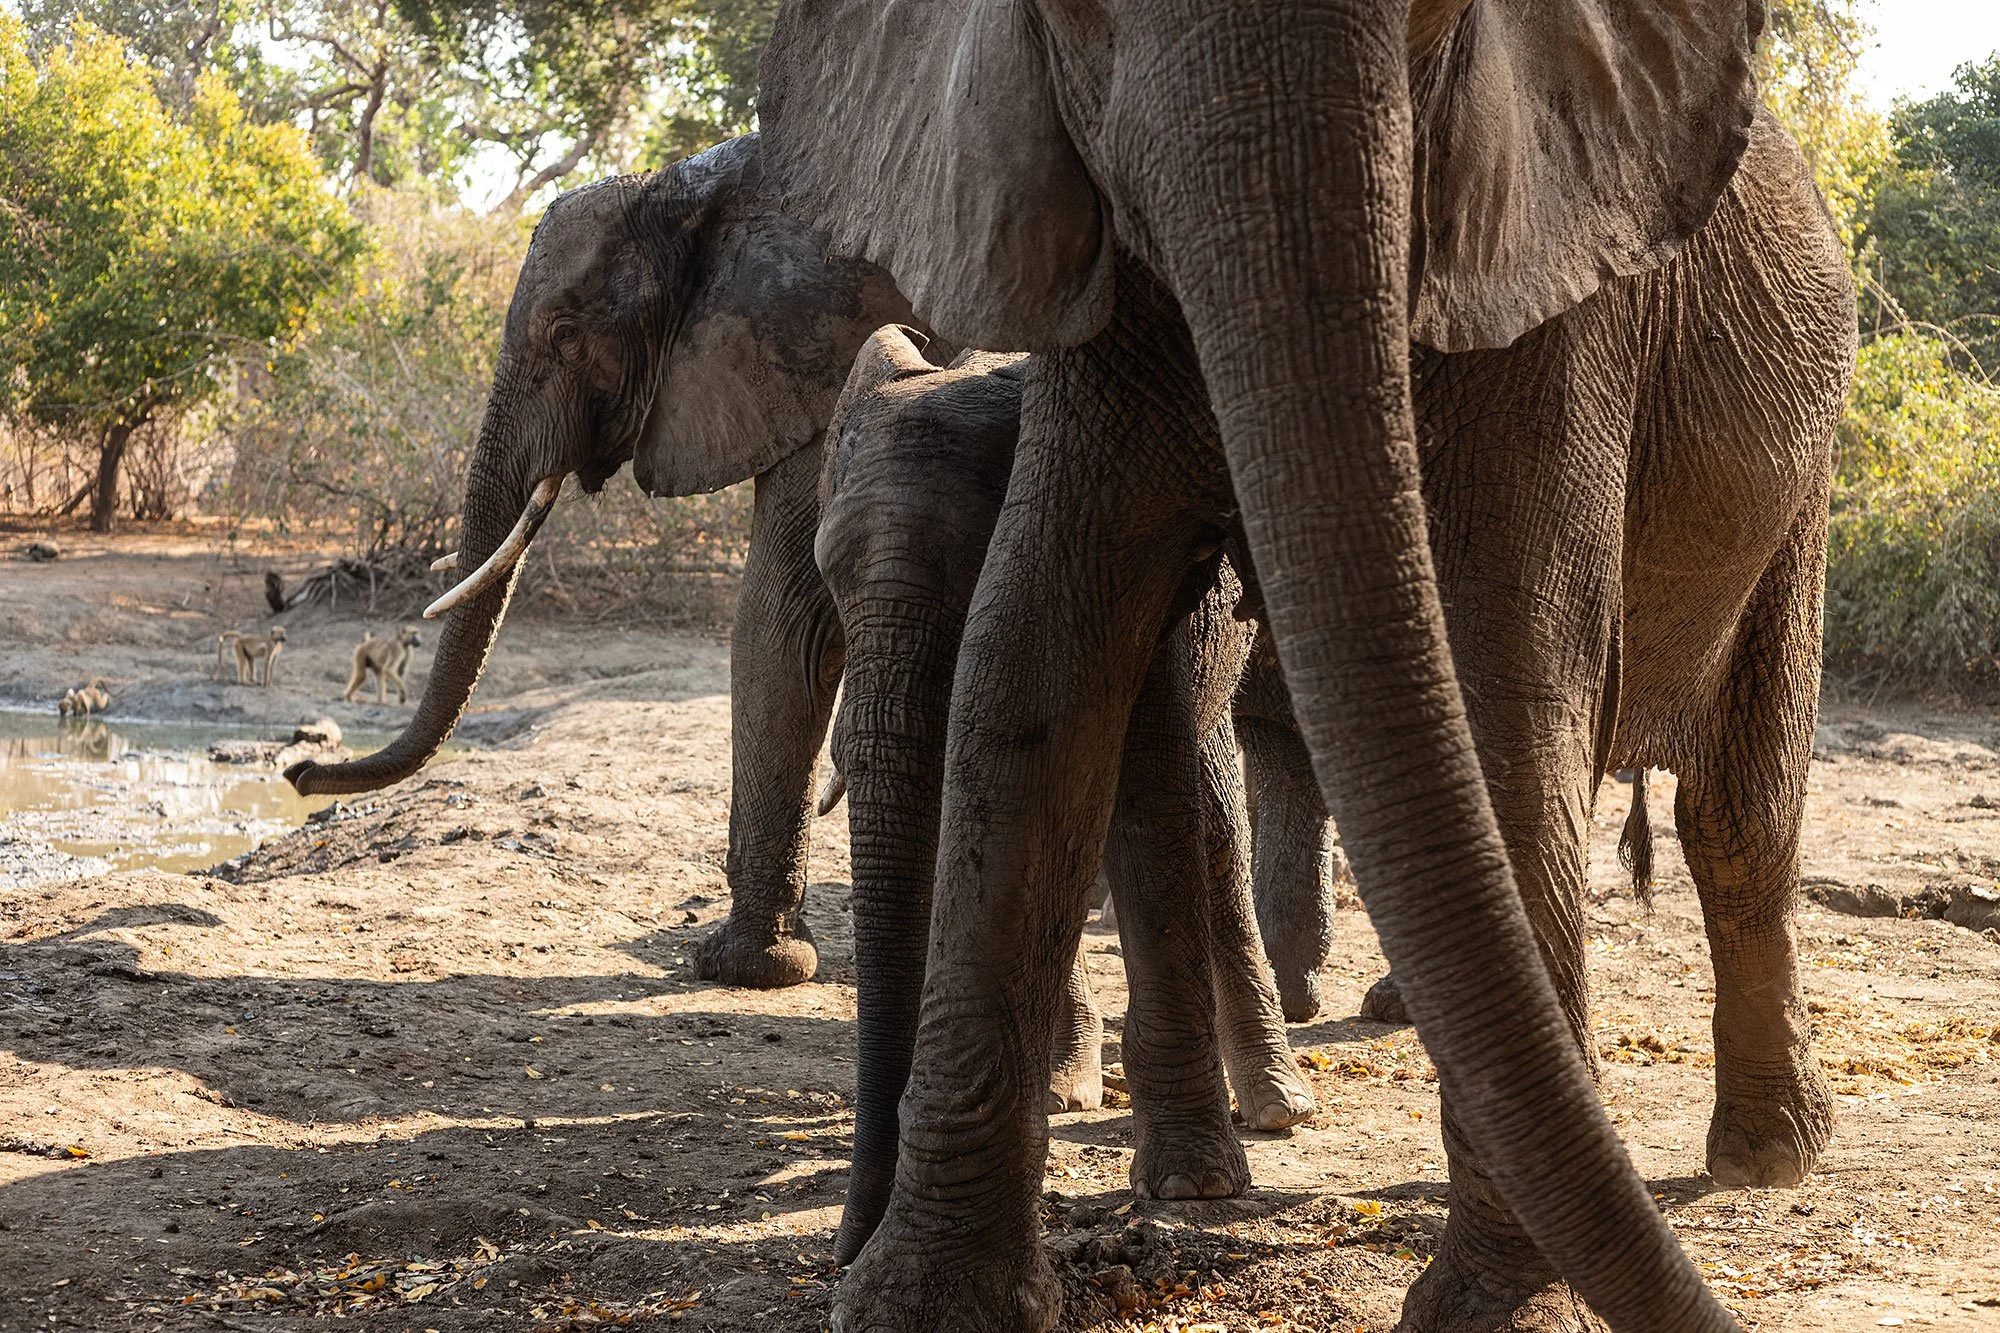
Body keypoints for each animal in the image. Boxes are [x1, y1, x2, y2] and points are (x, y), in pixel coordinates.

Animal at [283, 134, 915, 994]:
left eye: (564, 333)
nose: (299, 775)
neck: (702, 190)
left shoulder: (823, 361)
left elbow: (786, 617)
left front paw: (741, 964)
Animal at [813, 327, 1317, 1261]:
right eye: (828, 580)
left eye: (979, 582)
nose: (845, 1253)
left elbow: (1147, 794)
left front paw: (1192, 1187)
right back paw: (1059, 1088)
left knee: (1212, 817)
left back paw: (1277, 1107)